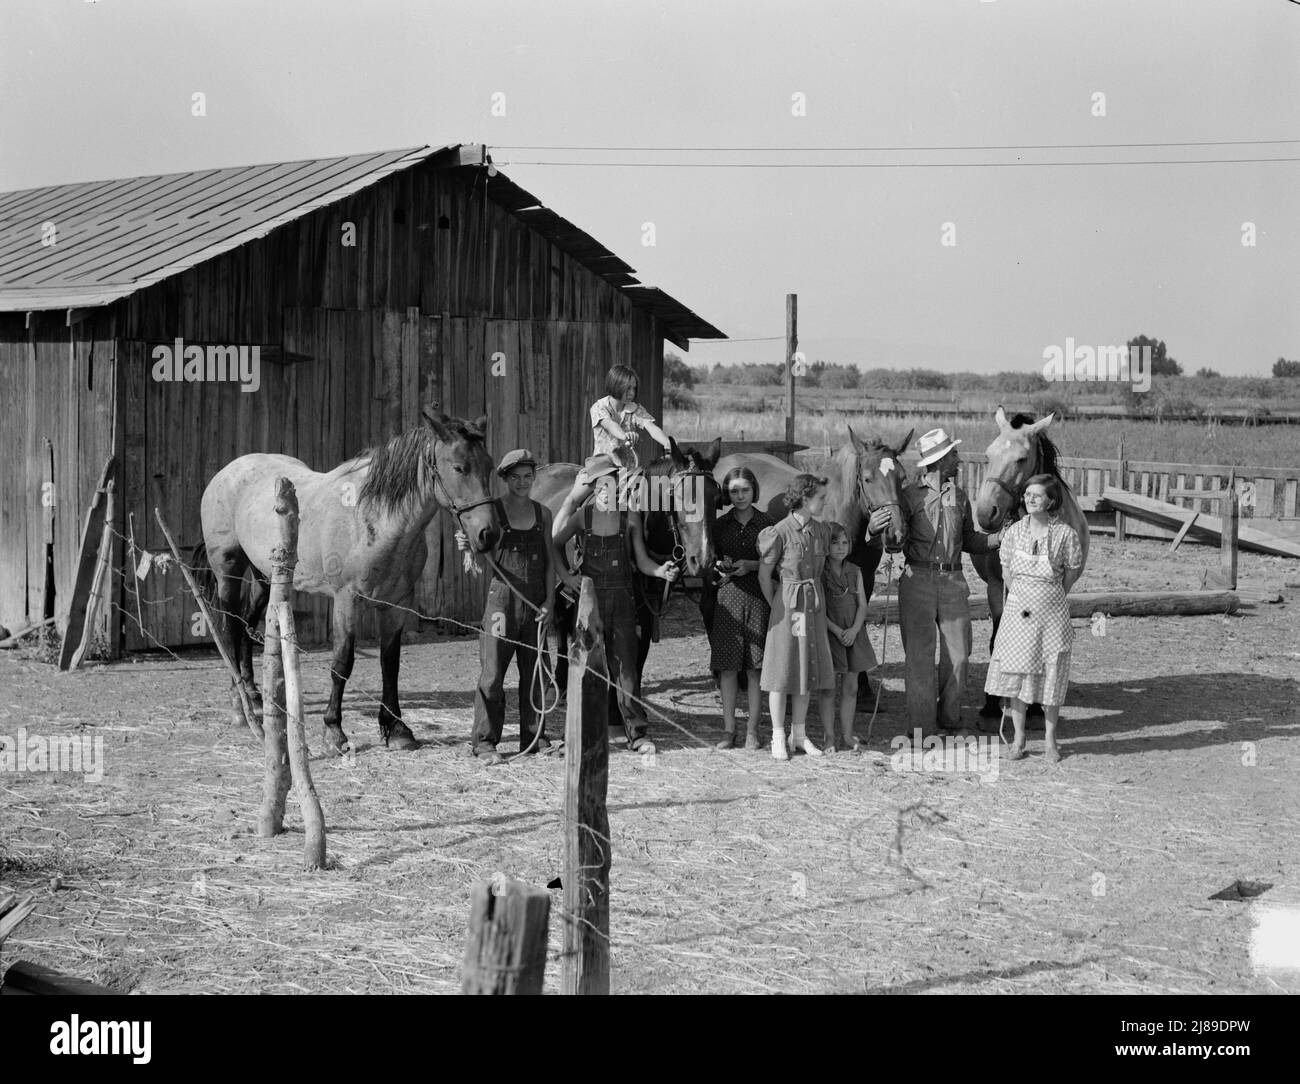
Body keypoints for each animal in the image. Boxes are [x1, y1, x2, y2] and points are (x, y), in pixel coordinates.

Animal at [200, 408, 499, 753]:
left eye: (489, 466)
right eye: (459, 467)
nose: (488, 534)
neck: (373, 518)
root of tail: (227, 472)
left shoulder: (397, 603)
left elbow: (390, 663)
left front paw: (397, 729)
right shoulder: (347, 599)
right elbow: (342, 663)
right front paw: (334, 731)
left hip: (265, 577)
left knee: (247, 624)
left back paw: (255, 696)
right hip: (229, 569)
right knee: (230, 629)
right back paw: (240, 704)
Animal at [533, 439, 728, 691]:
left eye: (716, 498)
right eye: (678, 496)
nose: (704, 560)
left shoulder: (646, 606)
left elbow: (638, 656)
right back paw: (553, 678)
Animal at [972, 405, 1092, 717]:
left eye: (1021, 458)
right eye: (988, 454)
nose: (986, 513)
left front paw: (1036, 705)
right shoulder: (995, 586)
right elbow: (996, 638)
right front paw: (991, 703)